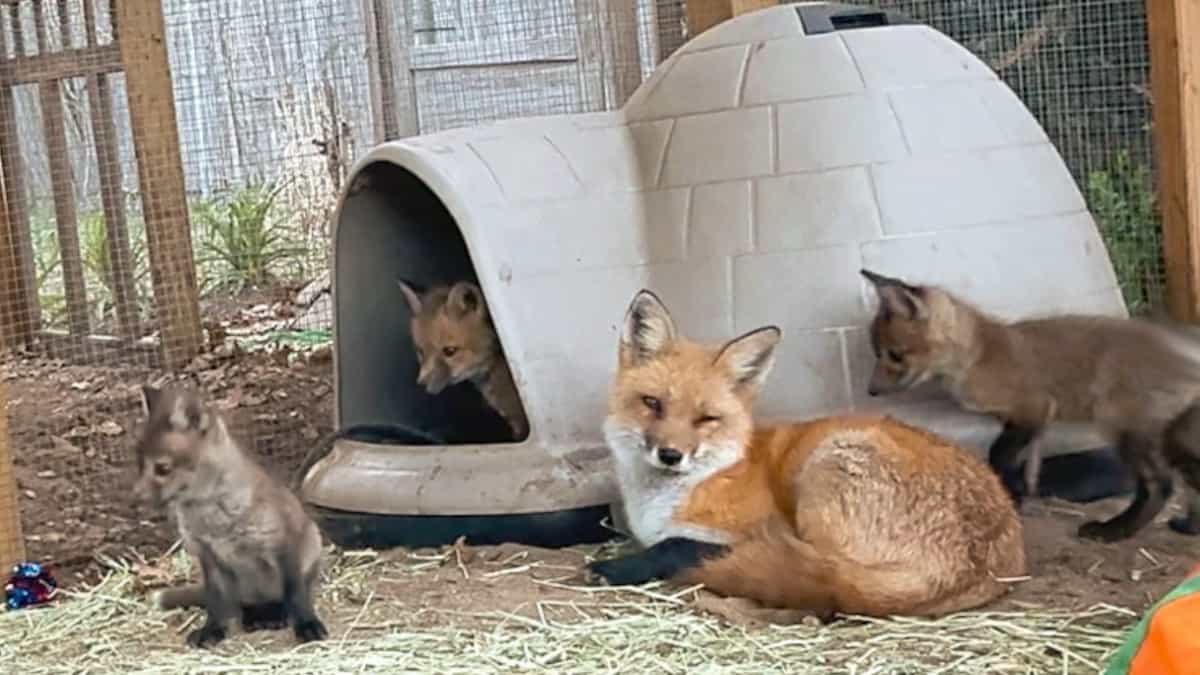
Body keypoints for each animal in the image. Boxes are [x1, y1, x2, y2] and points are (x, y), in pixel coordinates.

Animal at [135, 381, 328, 643]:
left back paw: (274, 616)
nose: (134, 498)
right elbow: (216, 603)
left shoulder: (283, 544)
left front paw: (307, 624)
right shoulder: (208, 556)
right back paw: (259, 618)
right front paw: (212, 631)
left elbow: (296, 595)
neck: (216, 520)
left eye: (162, 468)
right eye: (139, 465)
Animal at [585, 285, 1027, 619]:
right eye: (652, 403)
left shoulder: (752, 529)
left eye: (706, 418)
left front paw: (615, 567)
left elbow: (673, 545)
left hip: (826, 471)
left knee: (822, 585)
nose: (670, 455)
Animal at [864, 267, 1200, 540]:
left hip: (1123, 427)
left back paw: (1114, 531)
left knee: (1160, 486)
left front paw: (1010, 494)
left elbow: (998, 454)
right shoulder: (1018, 422)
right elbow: (1024, 464)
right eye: (877, 353)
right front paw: (1018, 495)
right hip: (1176, 438)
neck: (977, 356)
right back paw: (1189, 527)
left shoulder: (1034, 408)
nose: (871, 391)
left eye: (894, 354)